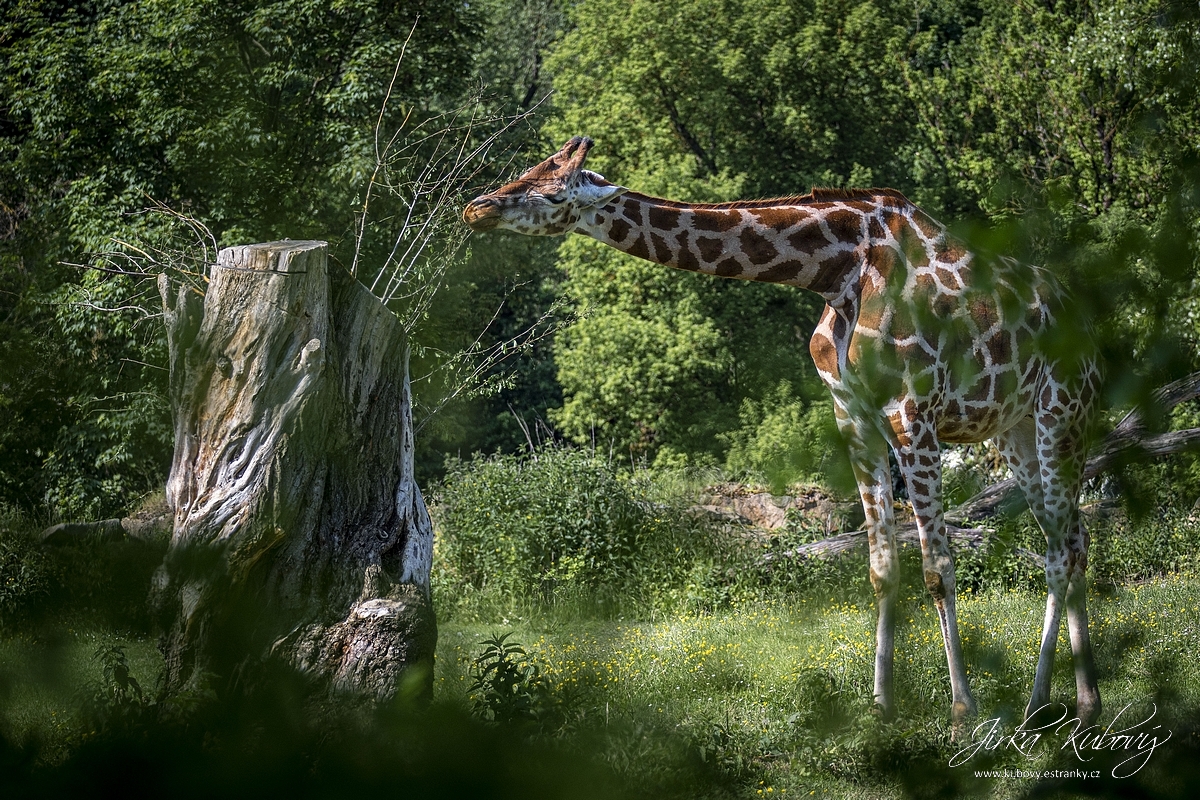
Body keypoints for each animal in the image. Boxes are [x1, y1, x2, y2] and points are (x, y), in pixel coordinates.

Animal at [463, 136, 1099, 724]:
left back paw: (1060, 702)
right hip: (1014, 429)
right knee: (1069, 539)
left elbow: (937, 569)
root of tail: (1092, 323)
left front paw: (963, 712)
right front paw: (881, 709)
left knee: (1065, 545)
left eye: (551, 190)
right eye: (530, 167)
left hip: (1063, 413)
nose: (476, 207)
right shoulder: (855, 419)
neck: (836, 269)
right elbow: (881, 569)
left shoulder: (912, 414)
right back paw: (1062, 703)